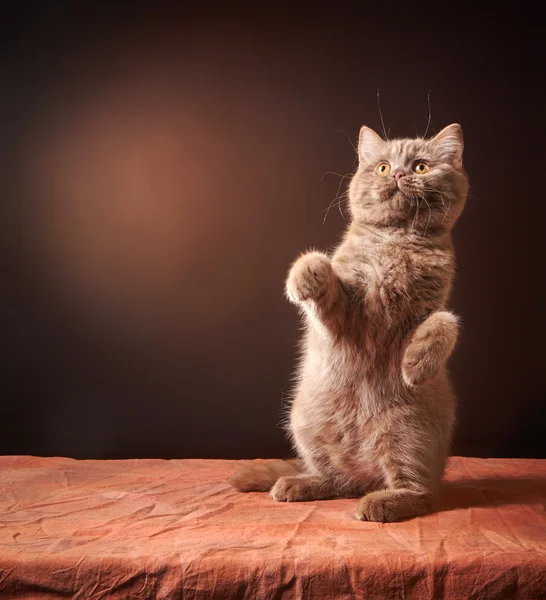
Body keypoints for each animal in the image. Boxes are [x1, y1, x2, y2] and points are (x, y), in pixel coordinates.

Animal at [230, 124, 468, 524]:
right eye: (384, 167)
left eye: (420, 166)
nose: (399, 174)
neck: (395, 243)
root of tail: (367, 472)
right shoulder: (342, 318)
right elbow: (318, 267)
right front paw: (305, 277)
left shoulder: (428, 307)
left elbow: (445, 321)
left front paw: (416, 364)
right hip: (304, 421)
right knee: (337, 480)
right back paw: (301, 484)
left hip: (408, 433)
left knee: (421, 493)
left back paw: (380, 502)